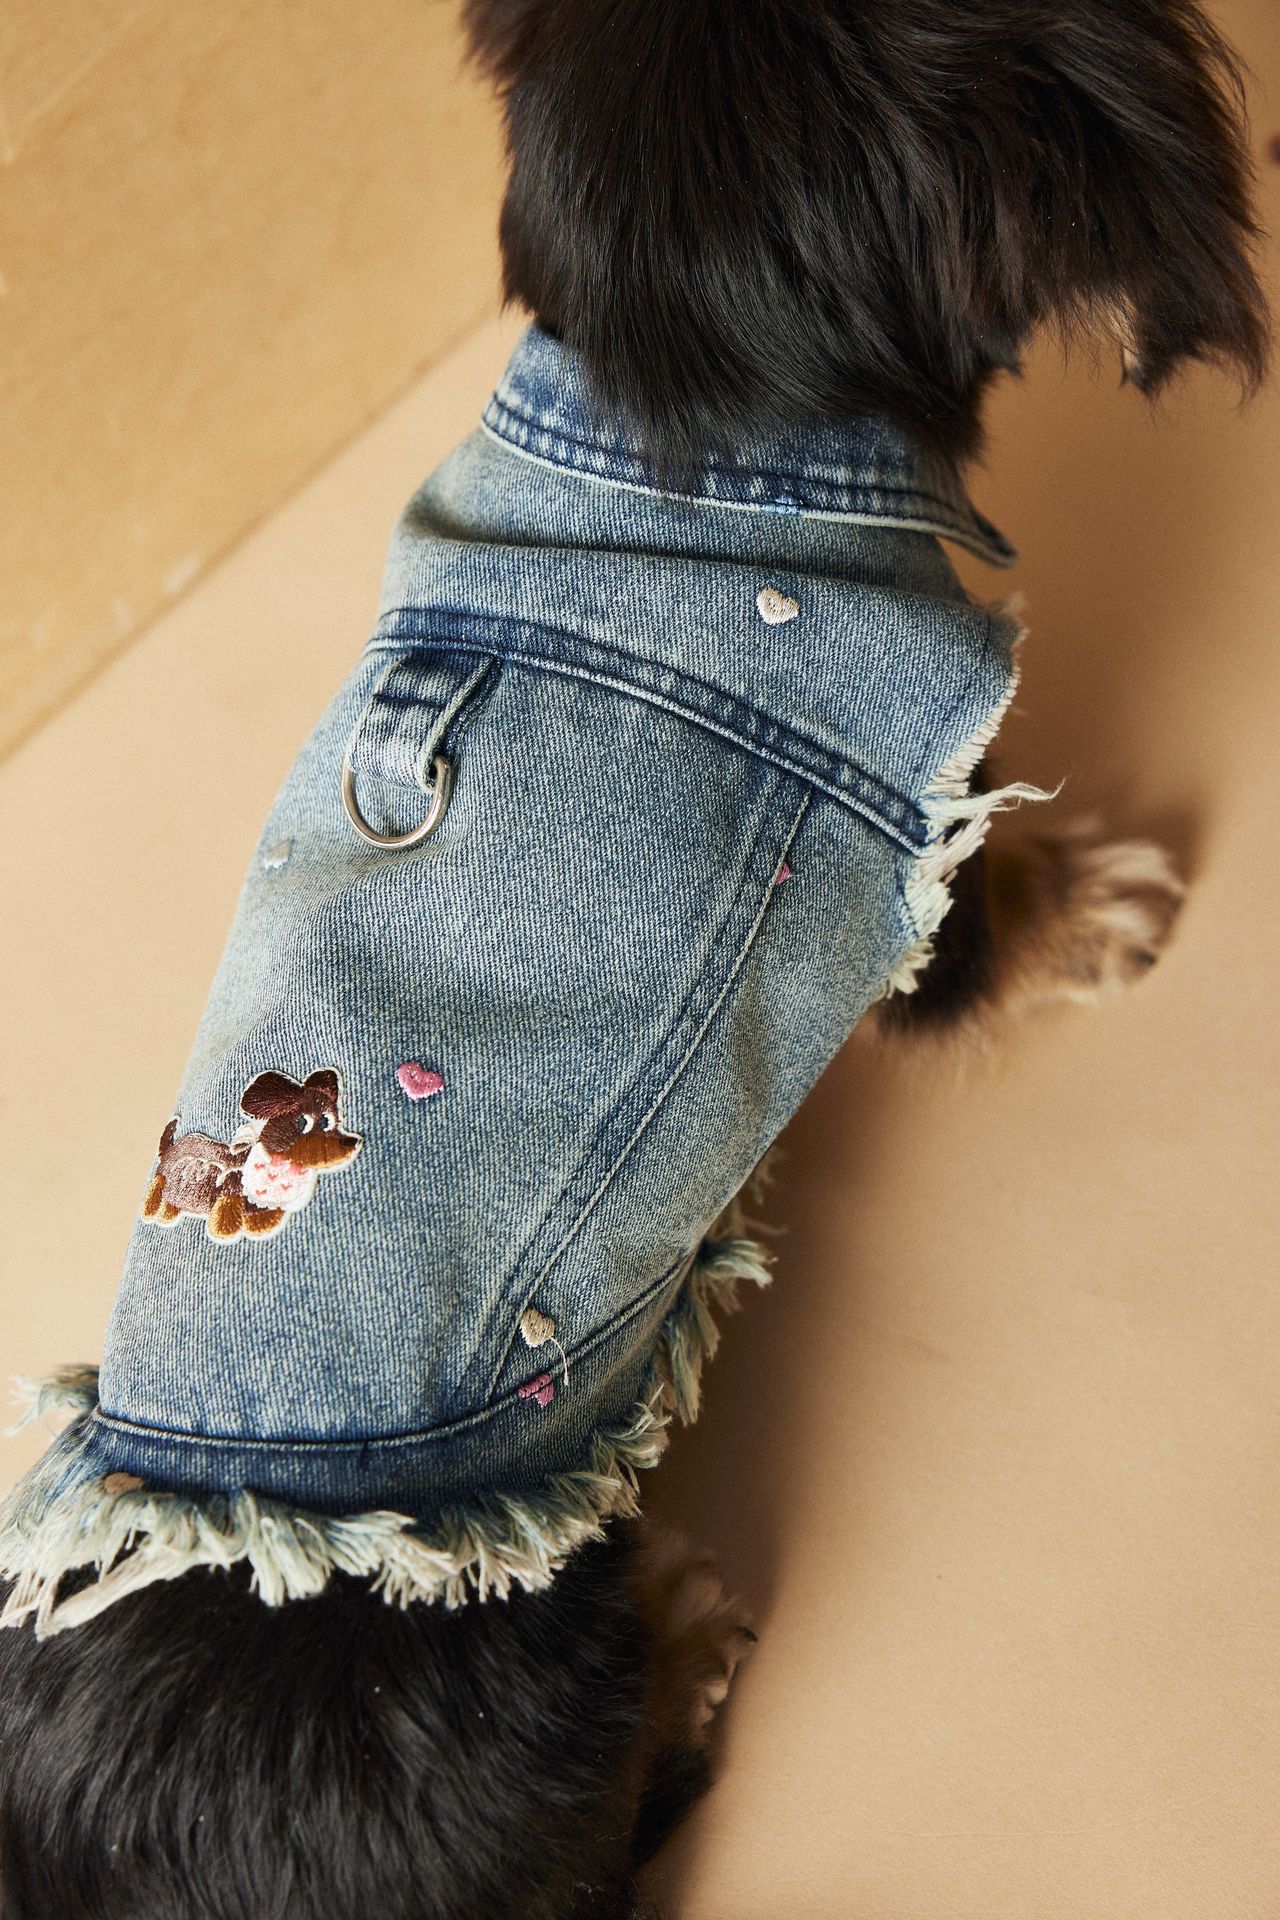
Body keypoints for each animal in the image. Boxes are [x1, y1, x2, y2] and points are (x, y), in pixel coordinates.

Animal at [0, 5, 1267, 1917]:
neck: (674, 418)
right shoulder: (902, 831)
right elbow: (982, 912)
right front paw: (1096, 904)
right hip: (538, 1681)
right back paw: (683, 1639)